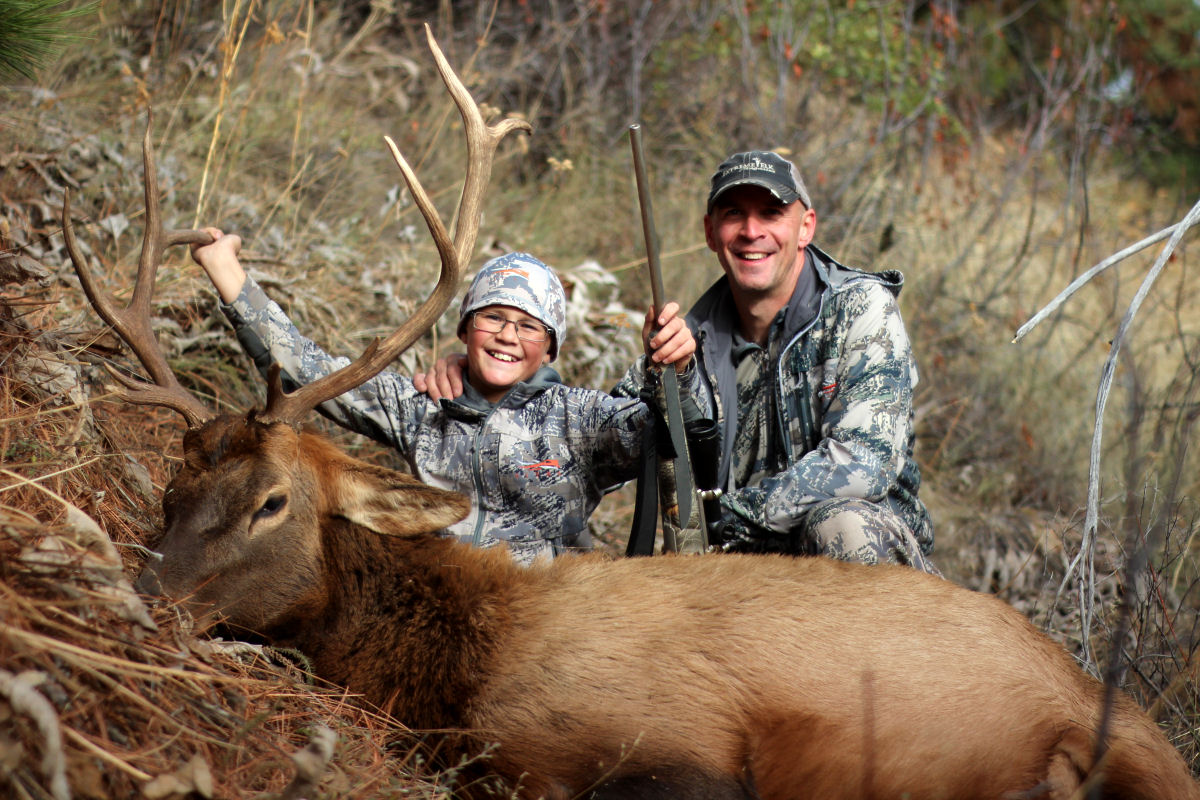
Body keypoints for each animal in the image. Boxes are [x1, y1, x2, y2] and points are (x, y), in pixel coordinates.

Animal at [62, 26, 1199, 800]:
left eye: (273, 501)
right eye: (175, 483)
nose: (141, 595)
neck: (462, 666)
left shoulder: (669, 740)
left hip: (1134, 753)